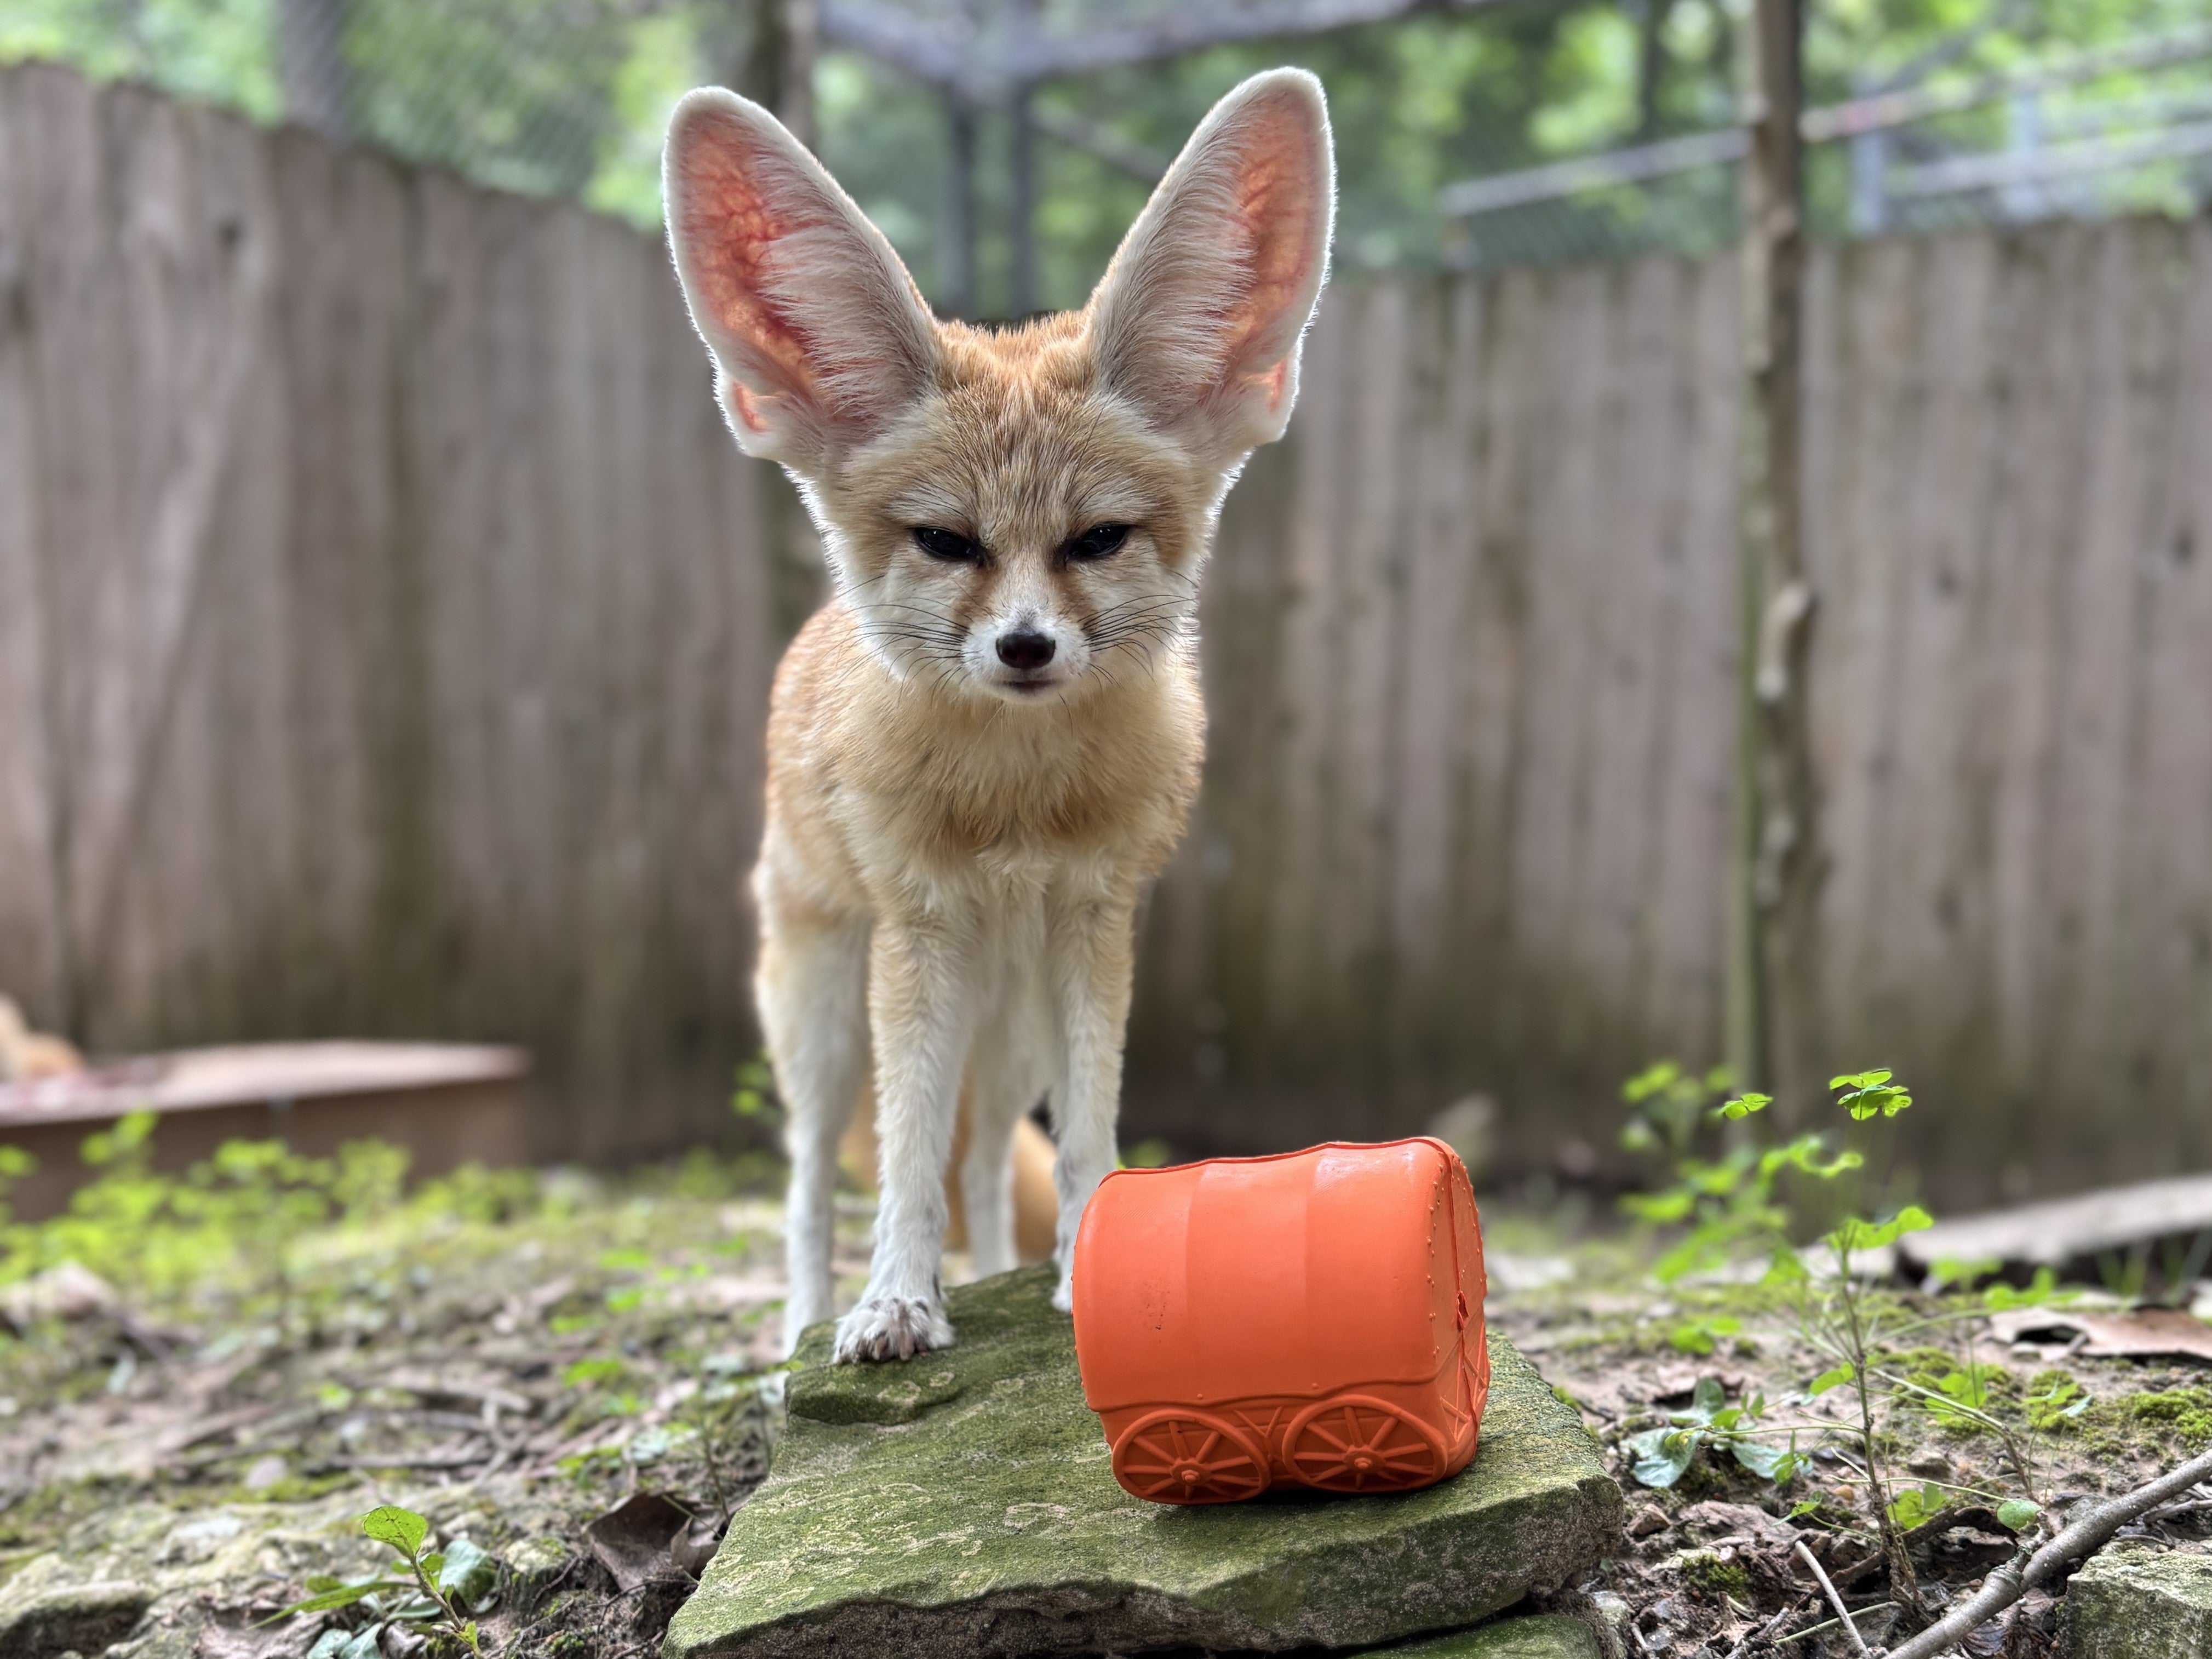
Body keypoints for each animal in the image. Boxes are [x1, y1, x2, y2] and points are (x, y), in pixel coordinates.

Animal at [661, 68, 1335, 1364]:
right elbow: (903, 1160)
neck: (1017, 804)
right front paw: (893, 1303)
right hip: (829, 1019)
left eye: (1097, 540)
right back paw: (799, 1332)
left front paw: (1082, 1271)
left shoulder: (1091, 925)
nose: (1025, 647)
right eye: (945, 542)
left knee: (978, 1173)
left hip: (1006, 1019)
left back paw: (993, 1278)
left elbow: (1083, 1143)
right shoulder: (919, 934)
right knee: (813, 1179)